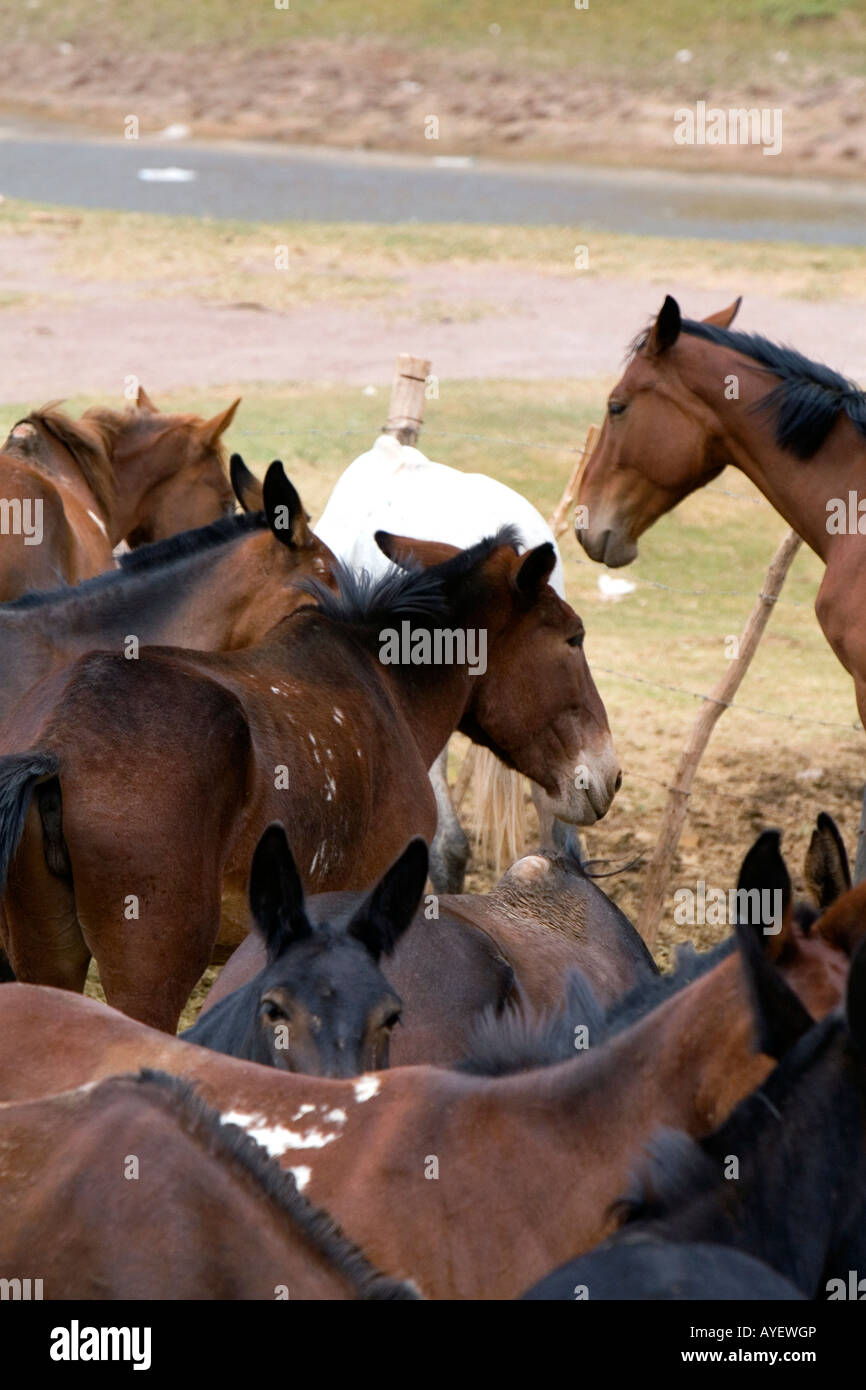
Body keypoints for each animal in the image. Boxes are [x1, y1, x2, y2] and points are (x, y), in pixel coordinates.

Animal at [0, 528, 618, 1031]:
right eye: (574, 638)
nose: (609, 776)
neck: (383, 682)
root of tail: (57, 740)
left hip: (48, 959)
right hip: (147, 979)